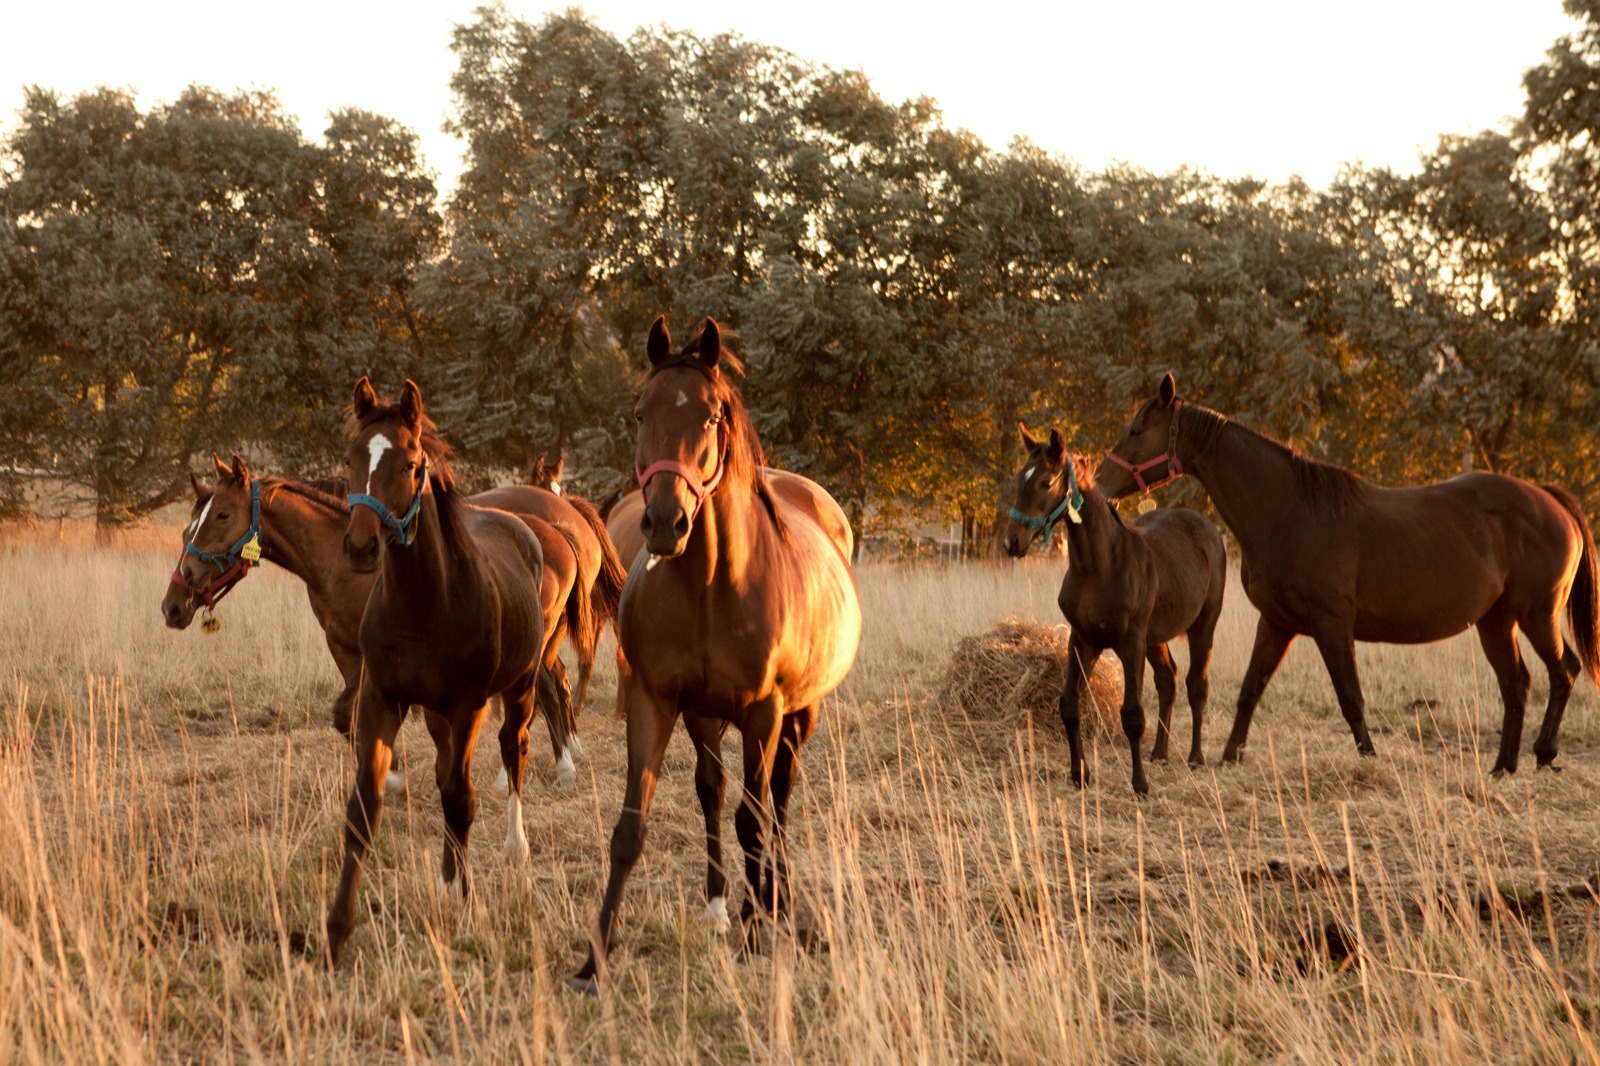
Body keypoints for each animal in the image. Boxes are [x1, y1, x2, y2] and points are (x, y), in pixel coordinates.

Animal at [323, 376, 550, 960]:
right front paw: (336, 929)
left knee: (513, 753)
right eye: (351, 457)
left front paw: (469, 907)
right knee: (447, 768)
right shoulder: (382, 699)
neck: (423, 603)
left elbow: (460, 800)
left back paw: (515, 851)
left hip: (517, 692)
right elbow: (364, 807)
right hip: (435, 715)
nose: (360, 546)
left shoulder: (468, 704)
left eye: (409, 462)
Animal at [569, 313, 857, 985]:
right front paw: (595, 958)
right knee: (714, 789)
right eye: (641, 412)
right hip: (703, 716)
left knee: (778, 798)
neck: (709, 585)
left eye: (710, 416)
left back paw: (777, 902)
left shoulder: (763, 713)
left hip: (800, 715)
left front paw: (755, 937)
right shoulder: (655, 702)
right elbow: (632, 826)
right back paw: (723, 904)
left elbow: (754, 821)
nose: (664, 522)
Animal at [998, 422, 1222, 787]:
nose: (1012, 542)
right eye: (1020, 478)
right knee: (1168, 680)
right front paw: (1079, 774)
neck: (1099, 565)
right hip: (1155, 637)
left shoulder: (1130, 643)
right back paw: (1159, 753)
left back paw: (1196, 757)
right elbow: (1070, 704)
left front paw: (1140, 784)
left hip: (1203, 626)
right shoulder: (1083, 640)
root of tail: (1208, 527)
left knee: (1196, 684)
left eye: (1046, 482)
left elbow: (1132, 714)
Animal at [1100, 369, 1600, 768]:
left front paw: (1369, 758)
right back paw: (1503, 767)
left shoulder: (1332, 625)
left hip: (1537, 615)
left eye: (1137, 429)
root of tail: (1549, 498)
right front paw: (1227, 757)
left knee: (1563, 672)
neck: (1289, 513)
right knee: (1517, 685)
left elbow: (1351, 699)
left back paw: (1543, 753)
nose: (1101, 483)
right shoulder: (1277, 623)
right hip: (1497, 621)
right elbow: (1249, 691)